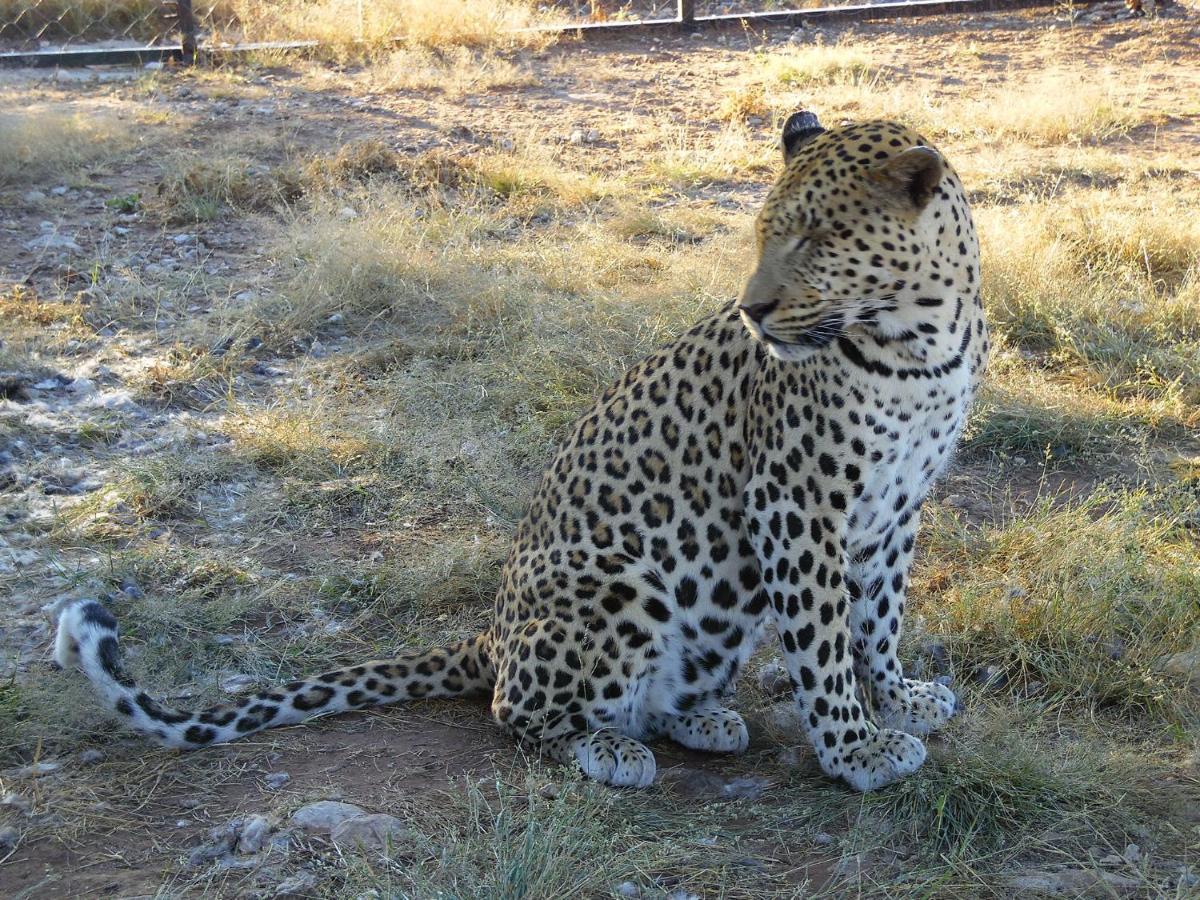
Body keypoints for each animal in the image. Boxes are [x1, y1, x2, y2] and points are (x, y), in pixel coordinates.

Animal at [54, 109, 984, 792]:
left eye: (818, 241)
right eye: (763, 235)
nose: (753, 310)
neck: (921, 341)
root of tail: (490, 636)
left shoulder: (897, 508)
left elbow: (878, 616)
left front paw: (899, 698)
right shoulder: (795, 505)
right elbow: (824, 643)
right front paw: (856, 748)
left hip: (720, 603)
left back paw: (701, 717)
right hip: (624, 584)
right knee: (519, 711)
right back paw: (610, 750)